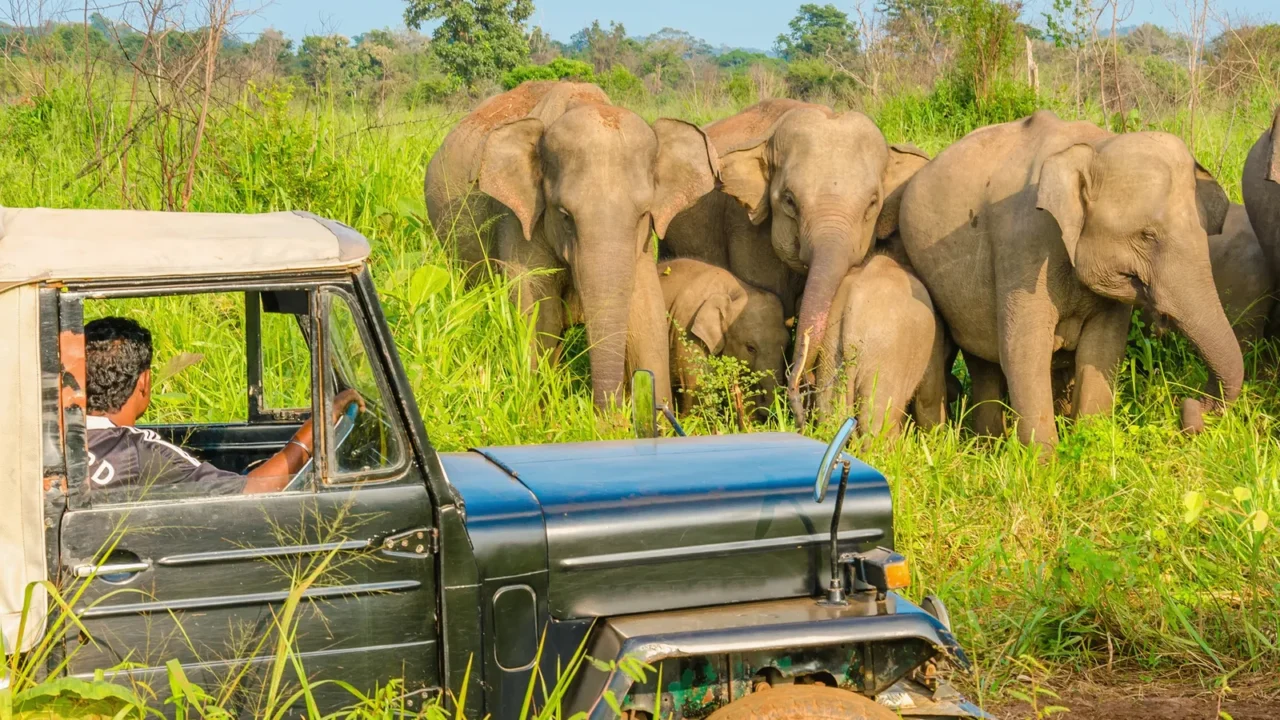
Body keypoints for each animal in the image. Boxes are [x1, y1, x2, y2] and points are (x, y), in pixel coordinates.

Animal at [424, 81, 720, 410]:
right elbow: (539, 315)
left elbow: (646, 313)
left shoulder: (642, 245)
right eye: (565, 215)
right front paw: (539, 412)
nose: (610, 416)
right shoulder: (519, 219)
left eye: (644, 214)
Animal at [900, 110, 1240, 449]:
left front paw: (1088, 445)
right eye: (1147, 235)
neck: (1094, 148)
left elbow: (1102, 349)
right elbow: (1023, 351)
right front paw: (1044, 459)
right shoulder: (1023, 244)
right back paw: (988, 445)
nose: (1189, 405)